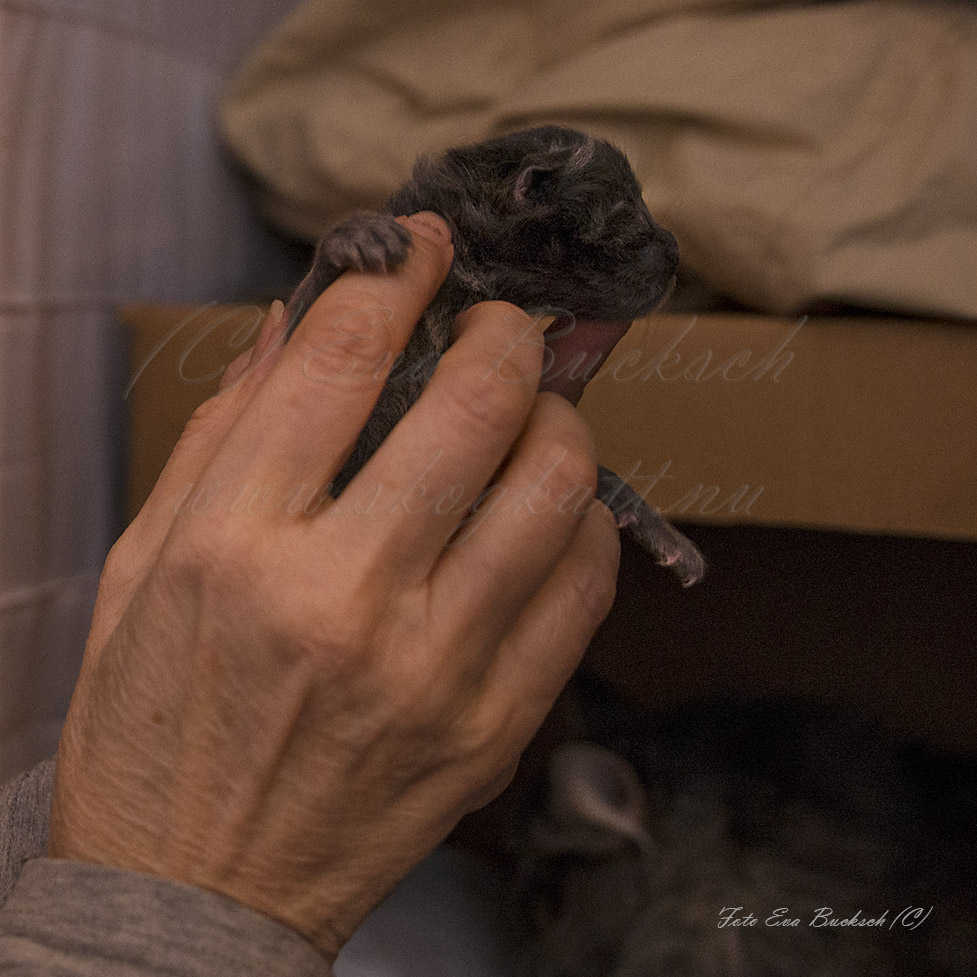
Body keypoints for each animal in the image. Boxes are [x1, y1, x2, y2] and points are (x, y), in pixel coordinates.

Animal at [286, 125, 704, 584]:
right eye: (625, 209)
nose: (676, 252)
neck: (473, 273)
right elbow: (310, 302)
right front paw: (355, 234)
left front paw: (650, 521)